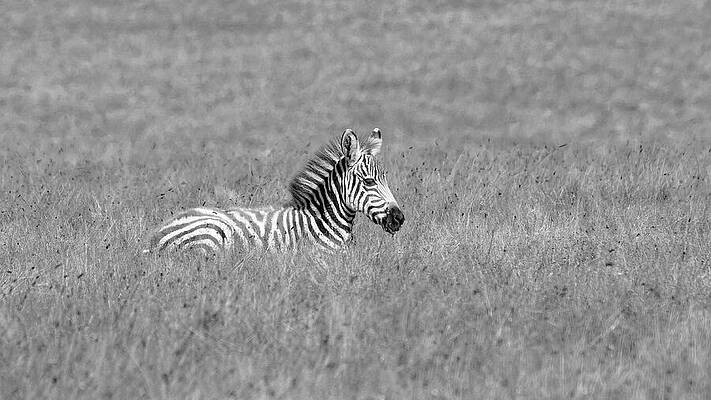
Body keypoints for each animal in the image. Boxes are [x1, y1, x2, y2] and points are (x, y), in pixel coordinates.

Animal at [145, 128, 405, 254]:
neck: (321, 222)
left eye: (385, 179)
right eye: (369, 182)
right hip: (212, 235)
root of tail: (157, 236)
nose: (399, 218)